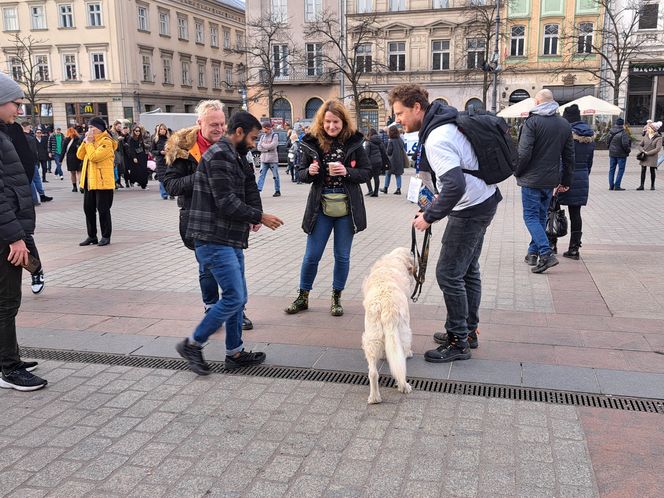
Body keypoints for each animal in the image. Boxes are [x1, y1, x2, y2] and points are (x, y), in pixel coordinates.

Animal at [364, 246, 416, 404]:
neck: (395, 259)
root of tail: (386, 305)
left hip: (371, 336)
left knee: (373, 372)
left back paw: (374, 397)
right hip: (404, 331)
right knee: (401, 363)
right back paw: (404, 385)